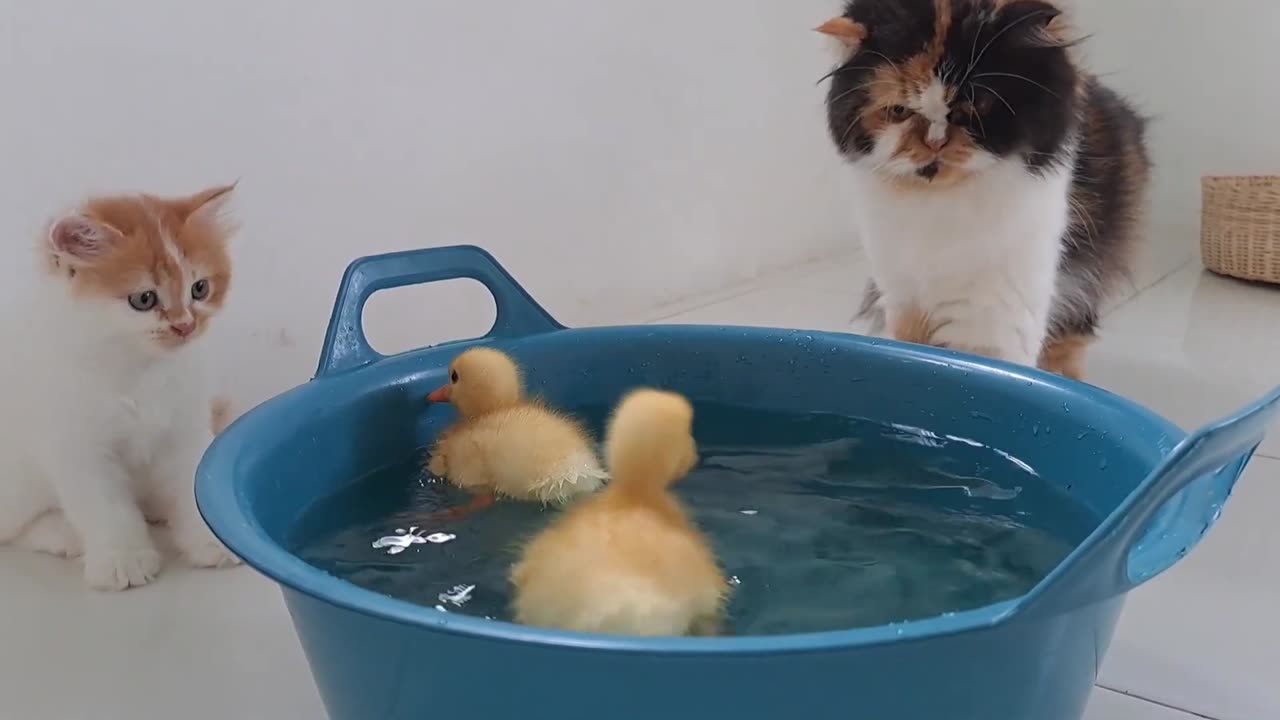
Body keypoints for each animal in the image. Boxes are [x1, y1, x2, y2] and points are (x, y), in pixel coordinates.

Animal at [0, 184, 243, 589]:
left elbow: (192, 484)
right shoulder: (78, 449)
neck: (137, 369)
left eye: (200, 288)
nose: (185, 326)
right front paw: (123, 560)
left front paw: (212, 539)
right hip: (16, 482)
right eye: (144, 299)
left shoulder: (186, 428)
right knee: (12, 528)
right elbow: (107, 508)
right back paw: (62, 534)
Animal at [819, 0, 1152, 379]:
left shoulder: (992, 317)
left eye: (977, 103)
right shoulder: (903, 299)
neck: (936, 209)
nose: (935, 142)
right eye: (900, 111)